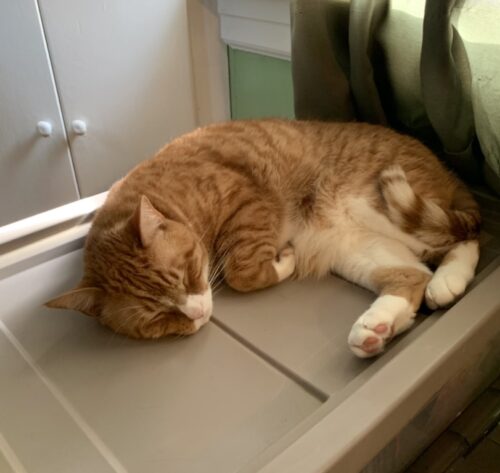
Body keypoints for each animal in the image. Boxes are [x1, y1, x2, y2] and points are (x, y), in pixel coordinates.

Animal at [47, 120, 480, 356]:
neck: (174, 199)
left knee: (466, 236)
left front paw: (281, 261)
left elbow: (243, 272)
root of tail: (444, 169)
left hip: (385, 207)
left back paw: (448, 280)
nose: (197, 314)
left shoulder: (248, 200)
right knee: (413, 275)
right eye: (157, 318)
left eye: (187, 275)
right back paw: (378, 328)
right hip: (357, 251)